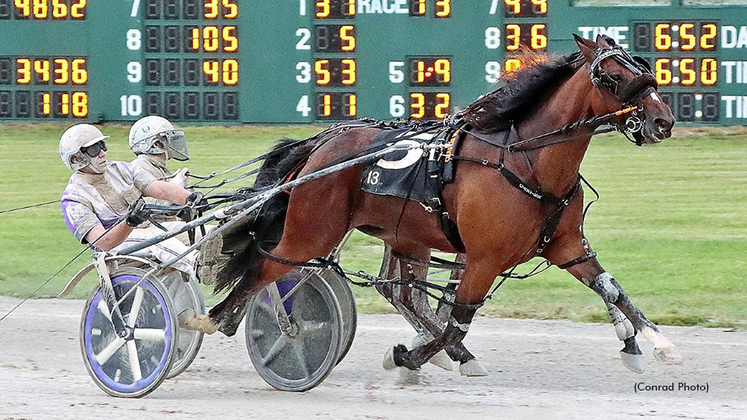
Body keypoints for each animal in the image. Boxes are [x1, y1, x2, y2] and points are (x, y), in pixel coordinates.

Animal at [194, 33, 684, 374]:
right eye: (614, 77)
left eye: (647, 69)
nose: (663, 121)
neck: (526, 161)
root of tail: (322, 143)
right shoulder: (484, 259)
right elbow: (459, 319)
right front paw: (414, 358)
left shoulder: (567, 248)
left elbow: (612, 289)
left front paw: (654, 343)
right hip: (313, 231)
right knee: (266, 263)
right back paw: (214, 318)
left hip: (403, 234)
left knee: (396, 290)